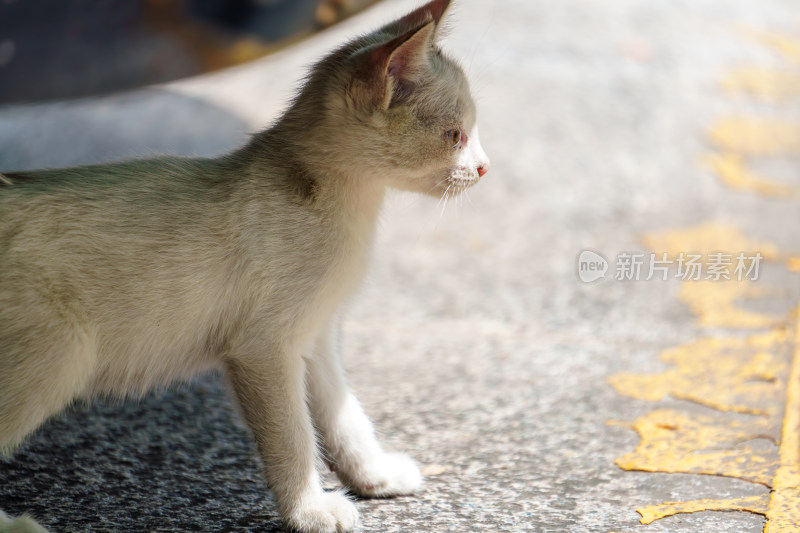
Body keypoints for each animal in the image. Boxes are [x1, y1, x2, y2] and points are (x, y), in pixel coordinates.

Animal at [0, 0, 488, 528]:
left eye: (472, 132)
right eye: (454, 135)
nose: (484, 168)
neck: (344, 207)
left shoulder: (317, 336)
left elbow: (343, 416)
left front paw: (372, 474)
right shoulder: (264, 348)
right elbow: (293, 436)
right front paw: (309, 508)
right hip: (61, 354)